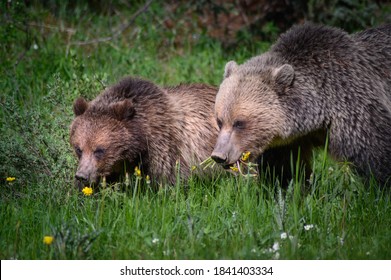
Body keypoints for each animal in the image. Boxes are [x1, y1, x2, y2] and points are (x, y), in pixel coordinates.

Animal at [211, 24, 391, 186]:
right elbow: (283, 170)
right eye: (220, 121)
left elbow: (376, 157)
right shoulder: (287, 143)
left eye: (239, 123)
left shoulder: (355, 111)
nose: (219, 156)